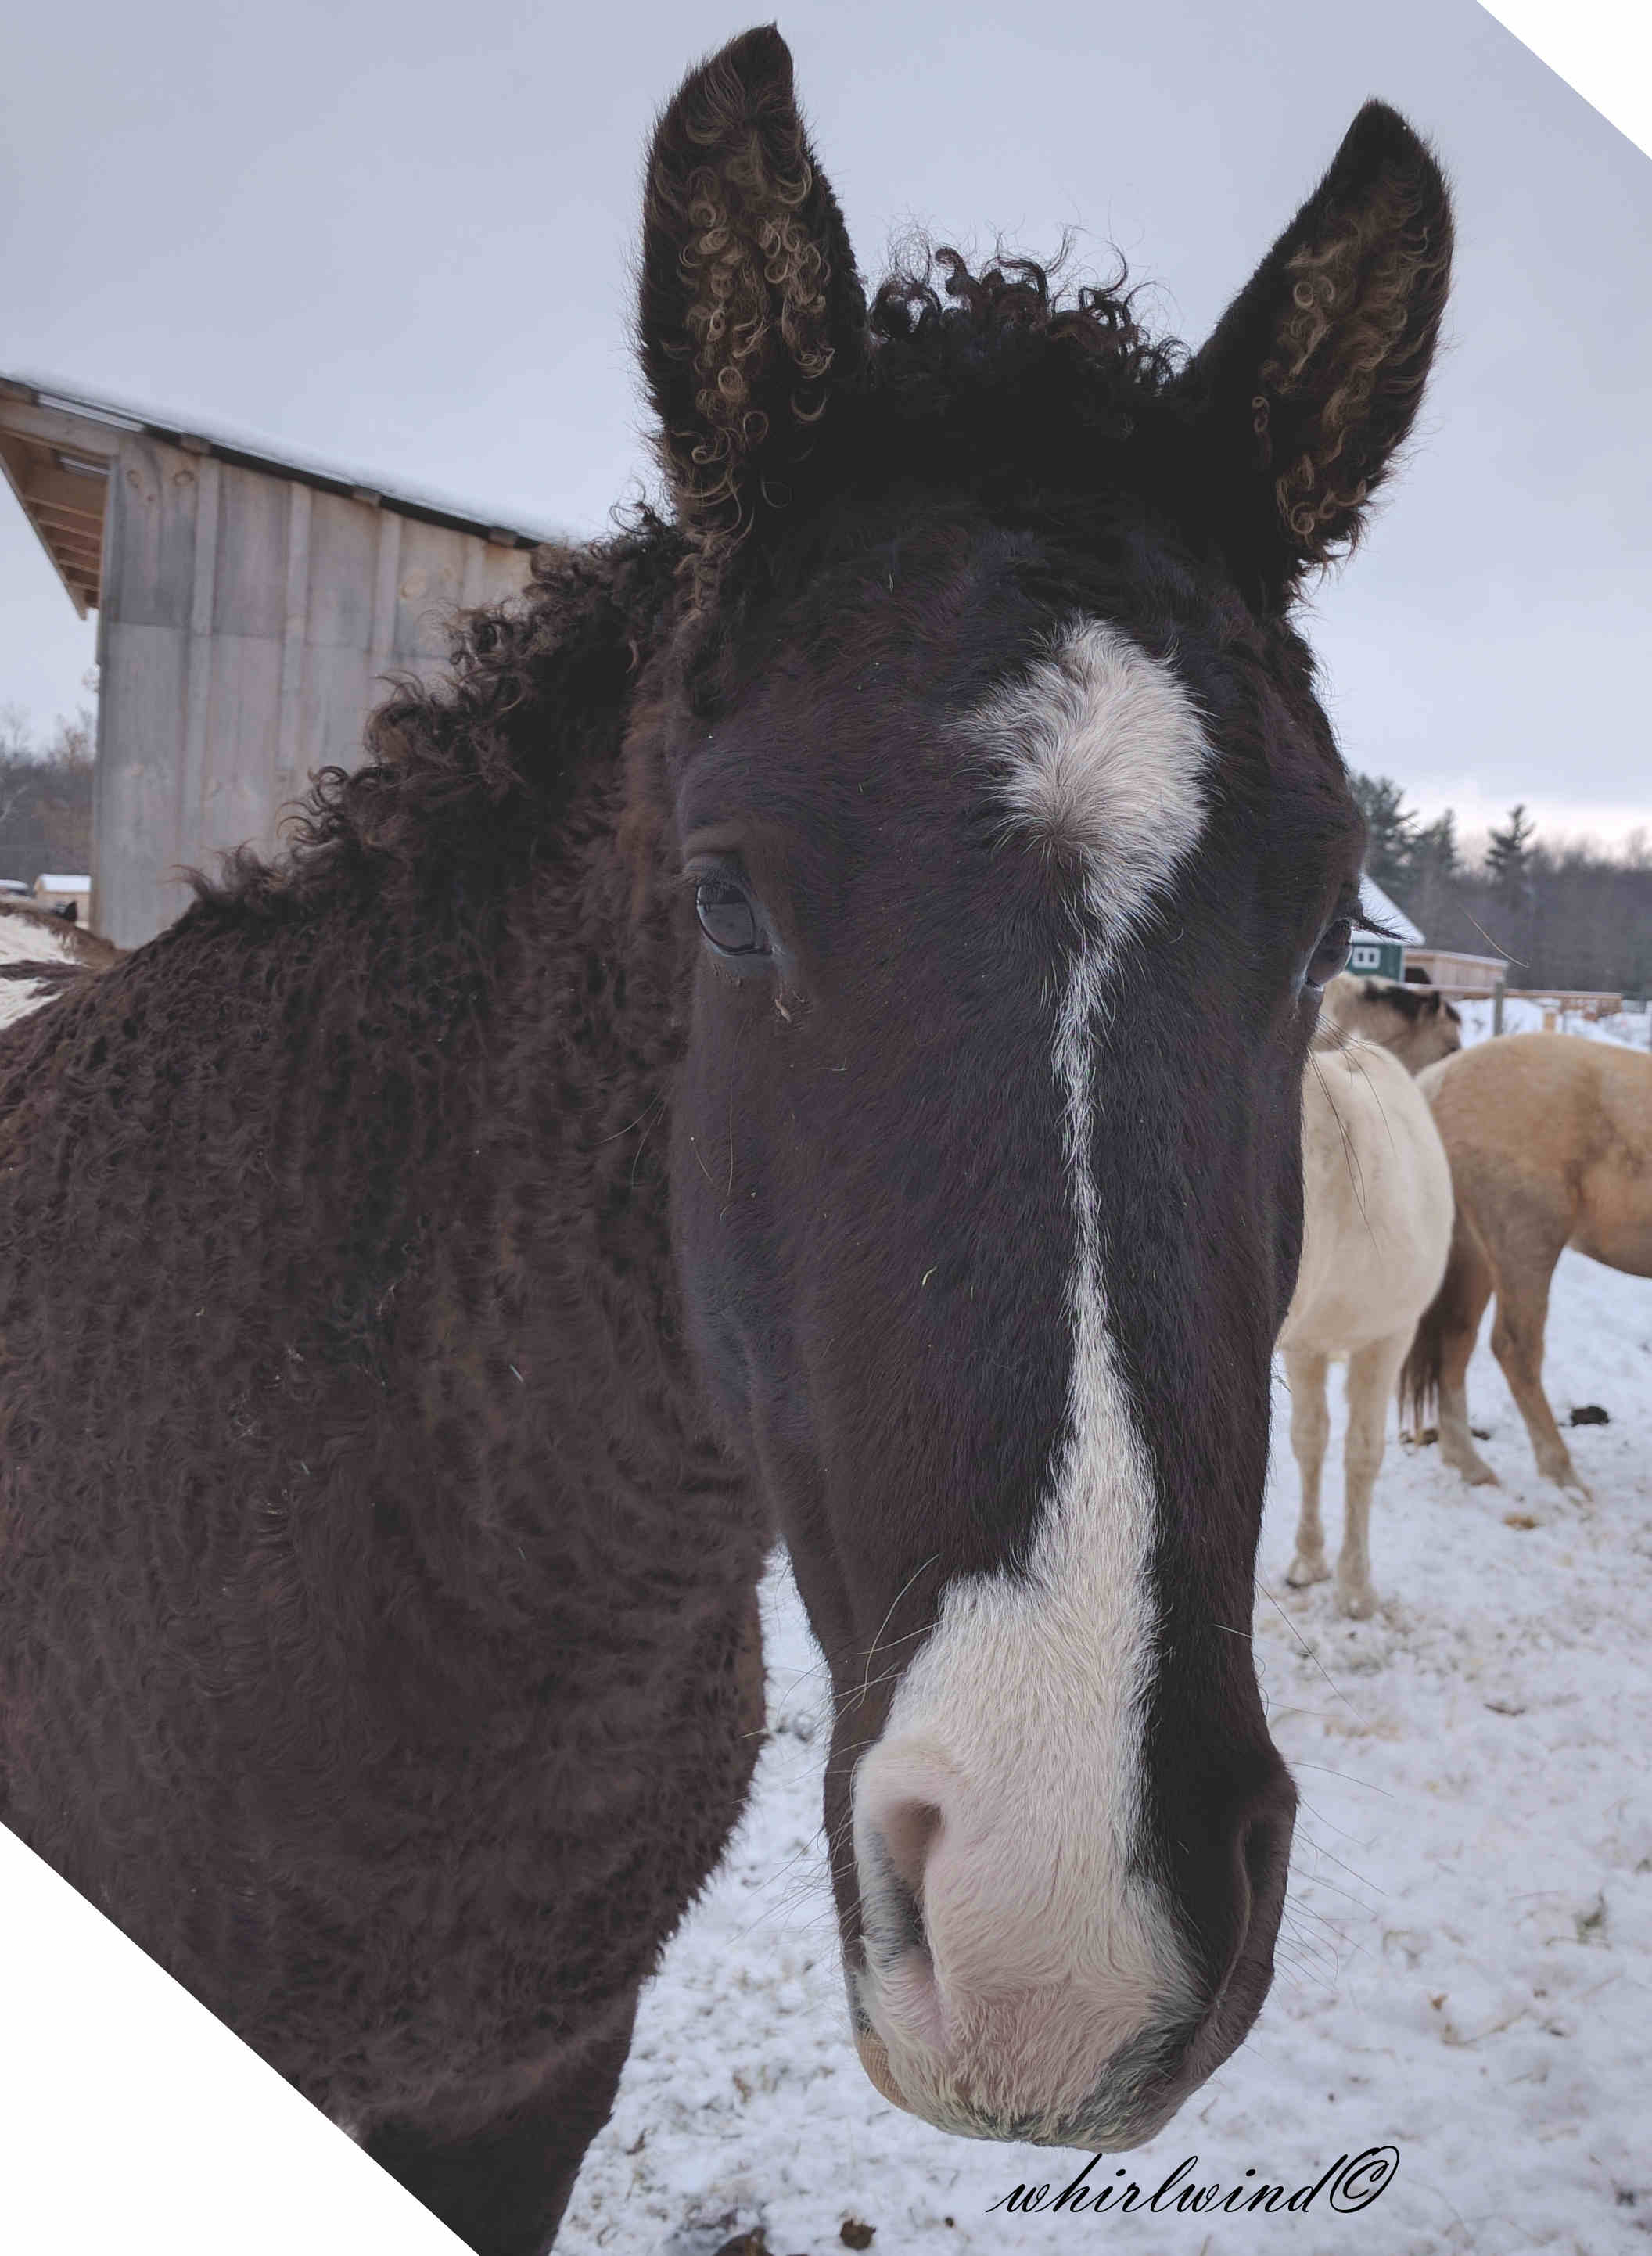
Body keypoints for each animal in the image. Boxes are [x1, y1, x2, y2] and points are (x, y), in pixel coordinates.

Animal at [1281, 1033, 1453, 1615]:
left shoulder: (1387, 1341)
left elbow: (1361, 1453)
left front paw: (1355, 1585)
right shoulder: (1303, 1346)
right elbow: (1309, 1439)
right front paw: (1310, 1559)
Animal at [1399, 1033, 1643, 1497]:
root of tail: (1442, 1081)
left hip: (1473, 1253)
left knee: (1456, 1338)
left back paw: (1470, 1465)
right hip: (1526, 1242)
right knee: (1516, 1347)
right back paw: (1562, 1474)